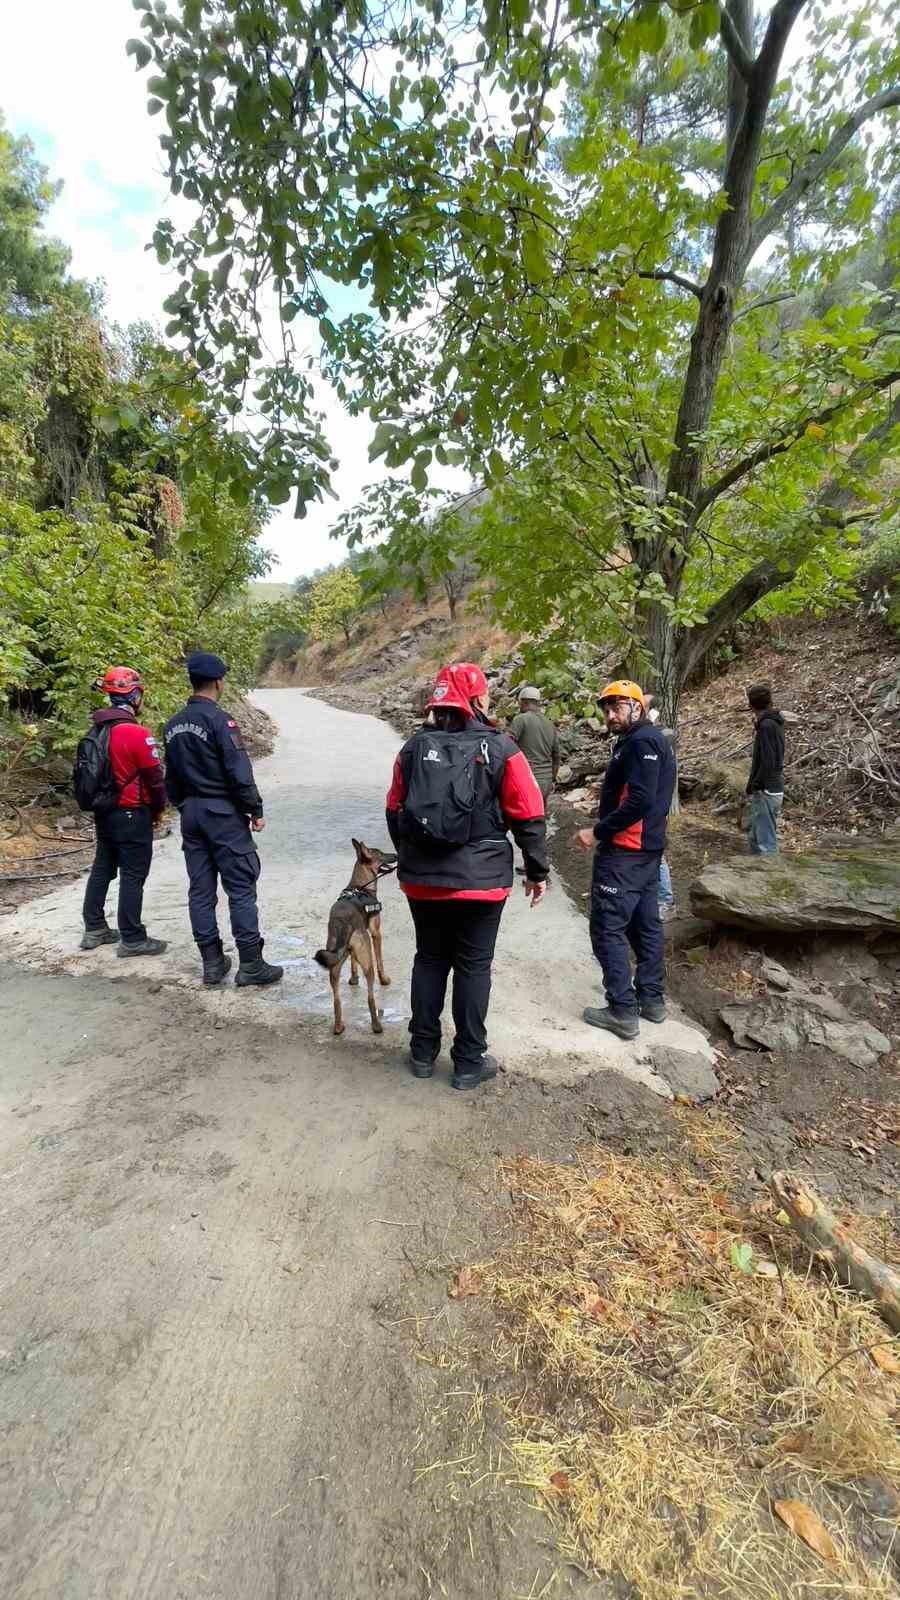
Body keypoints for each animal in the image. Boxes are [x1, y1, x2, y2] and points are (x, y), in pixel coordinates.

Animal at [313, 838, 393, 1036]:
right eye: (381, 854)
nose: (396, 855)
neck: (360, 886)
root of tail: (341, 922)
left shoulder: (350, 951)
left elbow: (353, 963)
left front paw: (353, 979)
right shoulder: (375, 934)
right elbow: (380, 961)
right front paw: (384, 979)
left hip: (333, 964)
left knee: (336, 999)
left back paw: (338, 1026)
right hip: (367, 961)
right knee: (370, 997)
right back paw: (376, 1026)